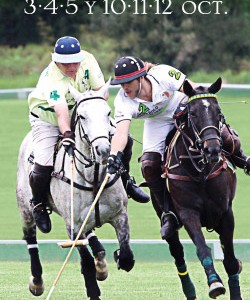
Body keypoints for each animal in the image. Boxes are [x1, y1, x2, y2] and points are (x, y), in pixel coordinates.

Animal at [16, 82, 135, 300]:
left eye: (108, 112)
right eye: (82, 116)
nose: (104, 150)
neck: (93, 177)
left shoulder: (120, 215)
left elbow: (127, 256)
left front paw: (113, 259)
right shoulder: (72, 226)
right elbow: (85, 262)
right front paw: (93, 290)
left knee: (92, 237)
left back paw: (101, 262)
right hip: (25, 208)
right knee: (30, 239)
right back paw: (37, 282)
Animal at [164, 78, 242, 300]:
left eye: (218, 111)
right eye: (193, 113)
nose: (213, 149)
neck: (200, 172)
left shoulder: (226, 212)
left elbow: (230, 260)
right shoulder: (187, 212)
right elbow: (202, 249)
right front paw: (215, 283)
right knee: (177, 252)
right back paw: (189, 291)